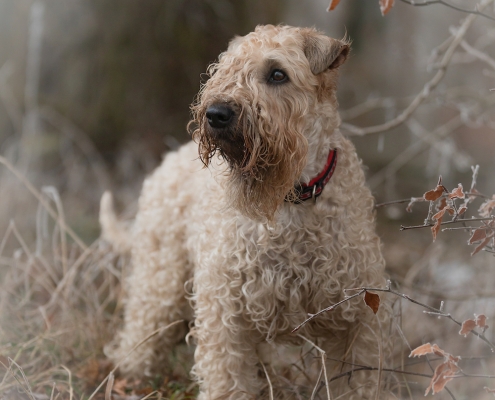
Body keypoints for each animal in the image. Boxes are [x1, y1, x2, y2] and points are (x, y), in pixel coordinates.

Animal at [102, 25, 394, 400]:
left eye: (277, 74)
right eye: (225, 67)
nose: (216, 113)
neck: (292, 198)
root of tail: (166, 163)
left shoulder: (358, 316)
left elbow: (358, 380)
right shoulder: (226, 312)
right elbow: (227, 380)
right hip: (160, 285)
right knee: (138, 339)